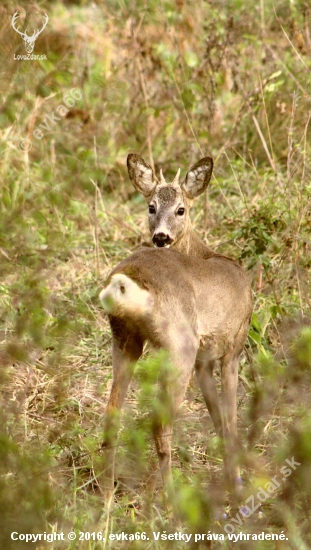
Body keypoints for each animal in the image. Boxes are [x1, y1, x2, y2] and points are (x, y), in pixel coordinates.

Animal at [100, 246, 254, 496]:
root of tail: (122, 283)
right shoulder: (231, 354)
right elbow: (230, 422)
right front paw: (236, 487)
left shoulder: (203, 364)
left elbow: (219, 421)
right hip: (180, 349)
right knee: (160, 426)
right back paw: (168, 500)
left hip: (126, 342)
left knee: (112, 416)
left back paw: (106, 500)